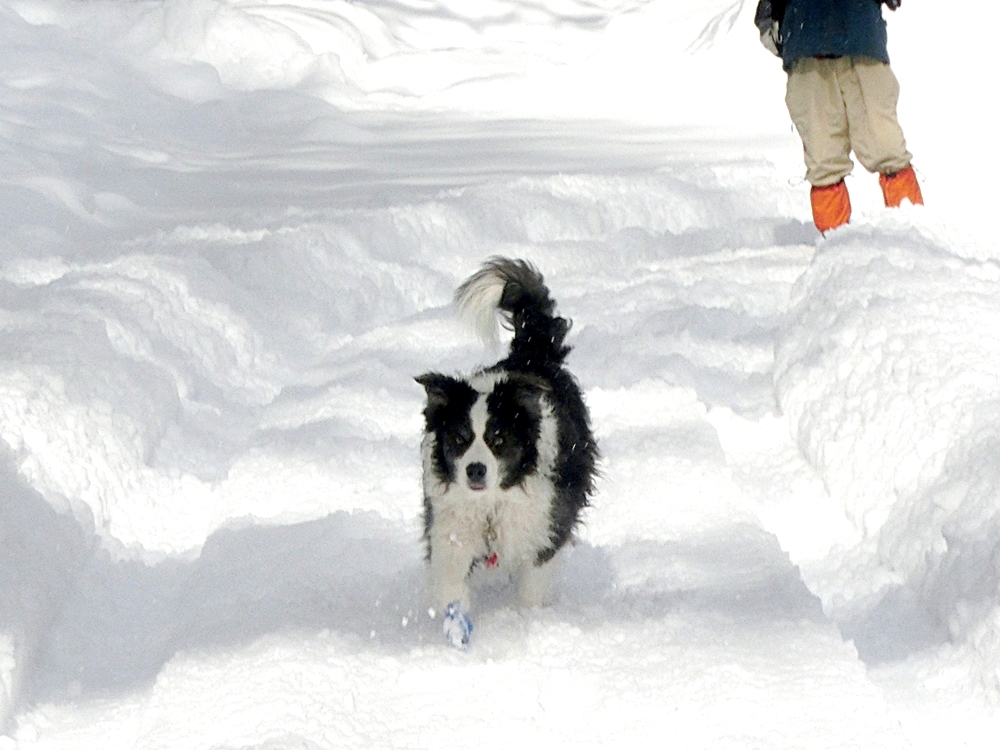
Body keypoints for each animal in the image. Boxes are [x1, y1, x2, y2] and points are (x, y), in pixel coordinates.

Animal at [414, 258, 592, 648]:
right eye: (460, 438)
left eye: (498, 439)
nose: (475, 470)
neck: (491, 505)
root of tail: (531, 355)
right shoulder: (451, 528)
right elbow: (451, 582)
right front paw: (455, 629)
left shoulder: (541, 528)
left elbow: (532, 584)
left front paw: (527, 624)